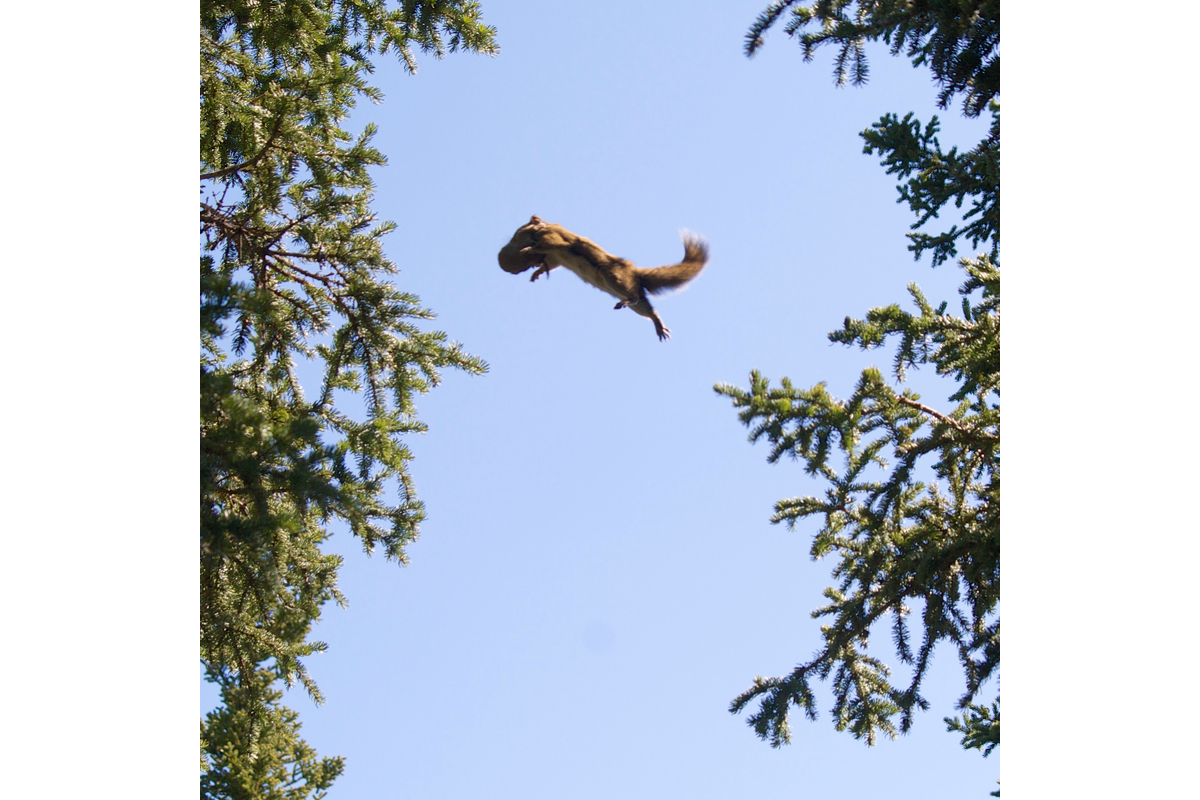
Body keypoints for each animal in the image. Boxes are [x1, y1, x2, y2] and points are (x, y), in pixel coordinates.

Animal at [497, 215, 708, 341]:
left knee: (635, 296)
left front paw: (528, 249)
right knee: (647, 307)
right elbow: (551, 263)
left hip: (614, 277)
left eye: (519, 230)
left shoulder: (553, 237)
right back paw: (659, 325)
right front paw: (536, 273)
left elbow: (550, 243)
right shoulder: (555, 257)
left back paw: (630, 302)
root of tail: (634, 273)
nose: (512, 239)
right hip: (634, 303)